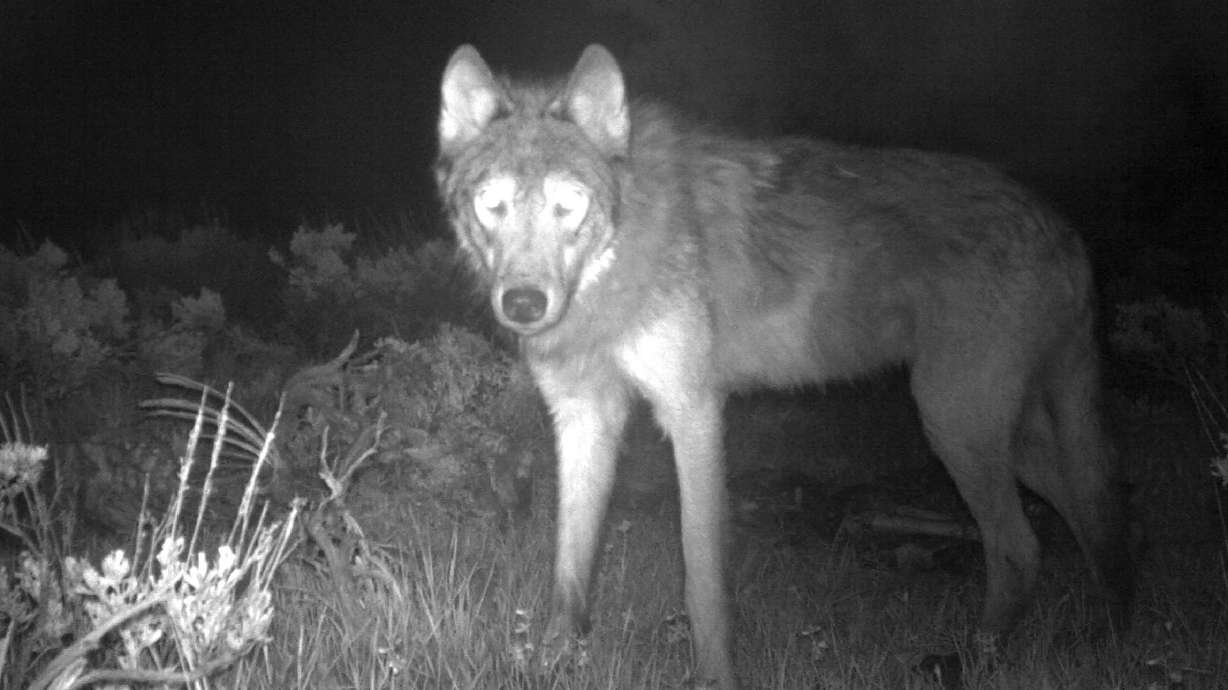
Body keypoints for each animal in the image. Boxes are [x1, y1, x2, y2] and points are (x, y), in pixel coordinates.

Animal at [434, 44, 1131, 689]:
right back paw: (1104, 632)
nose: (524, 304)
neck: (616, 264)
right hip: (999, 436)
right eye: (492, 204)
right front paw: (550, 663)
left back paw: (979, 660)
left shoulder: (693, 411)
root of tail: (1062, 228)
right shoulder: (584, 417)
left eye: (568, 204)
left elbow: (702, 581)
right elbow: (569, 569)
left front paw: (715, 678)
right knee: (1092, 517)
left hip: (955, 424)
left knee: (1021, 547)